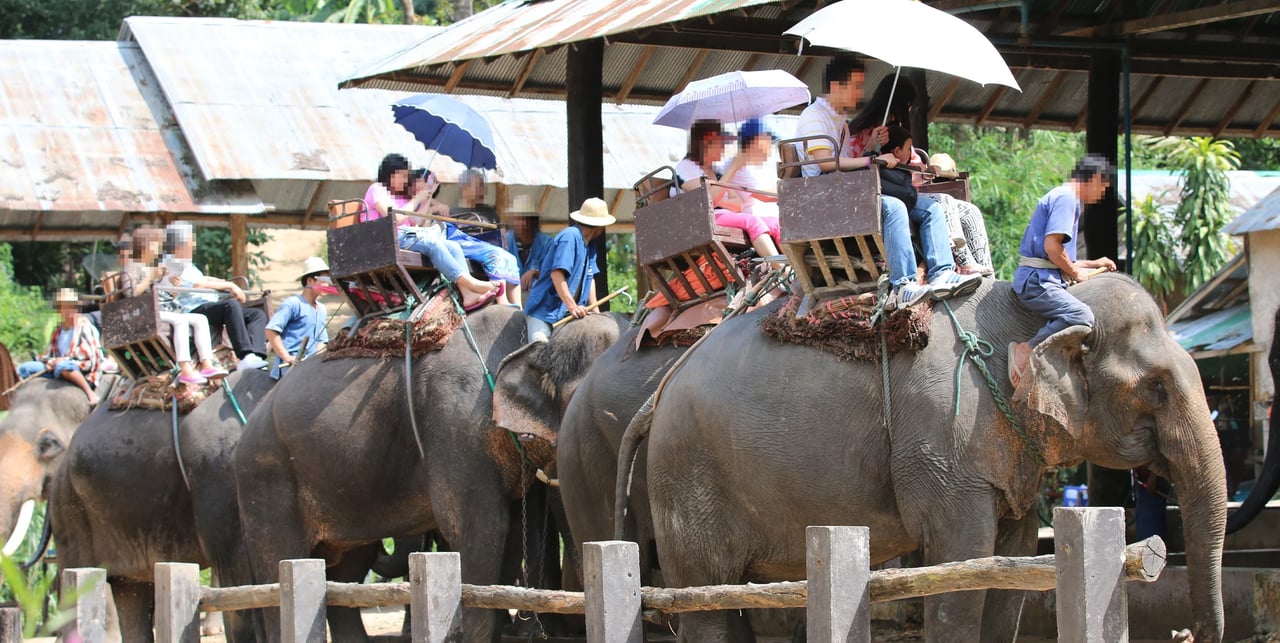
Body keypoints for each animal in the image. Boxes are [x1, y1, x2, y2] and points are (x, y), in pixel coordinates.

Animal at [234, 304, 532, 642]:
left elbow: (508, 538)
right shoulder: (454, 425)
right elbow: (480, 530)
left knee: (346, 572)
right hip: (265, 477)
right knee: (281, 563)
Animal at [620, 274, 1227, 642]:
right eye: (1156, 388)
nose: (1185, 633)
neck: (1031, 314)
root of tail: (659, 391)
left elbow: (1015, 561)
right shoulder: (945, 442)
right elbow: (962, 561)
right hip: (686, 476)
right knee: (707, 600)